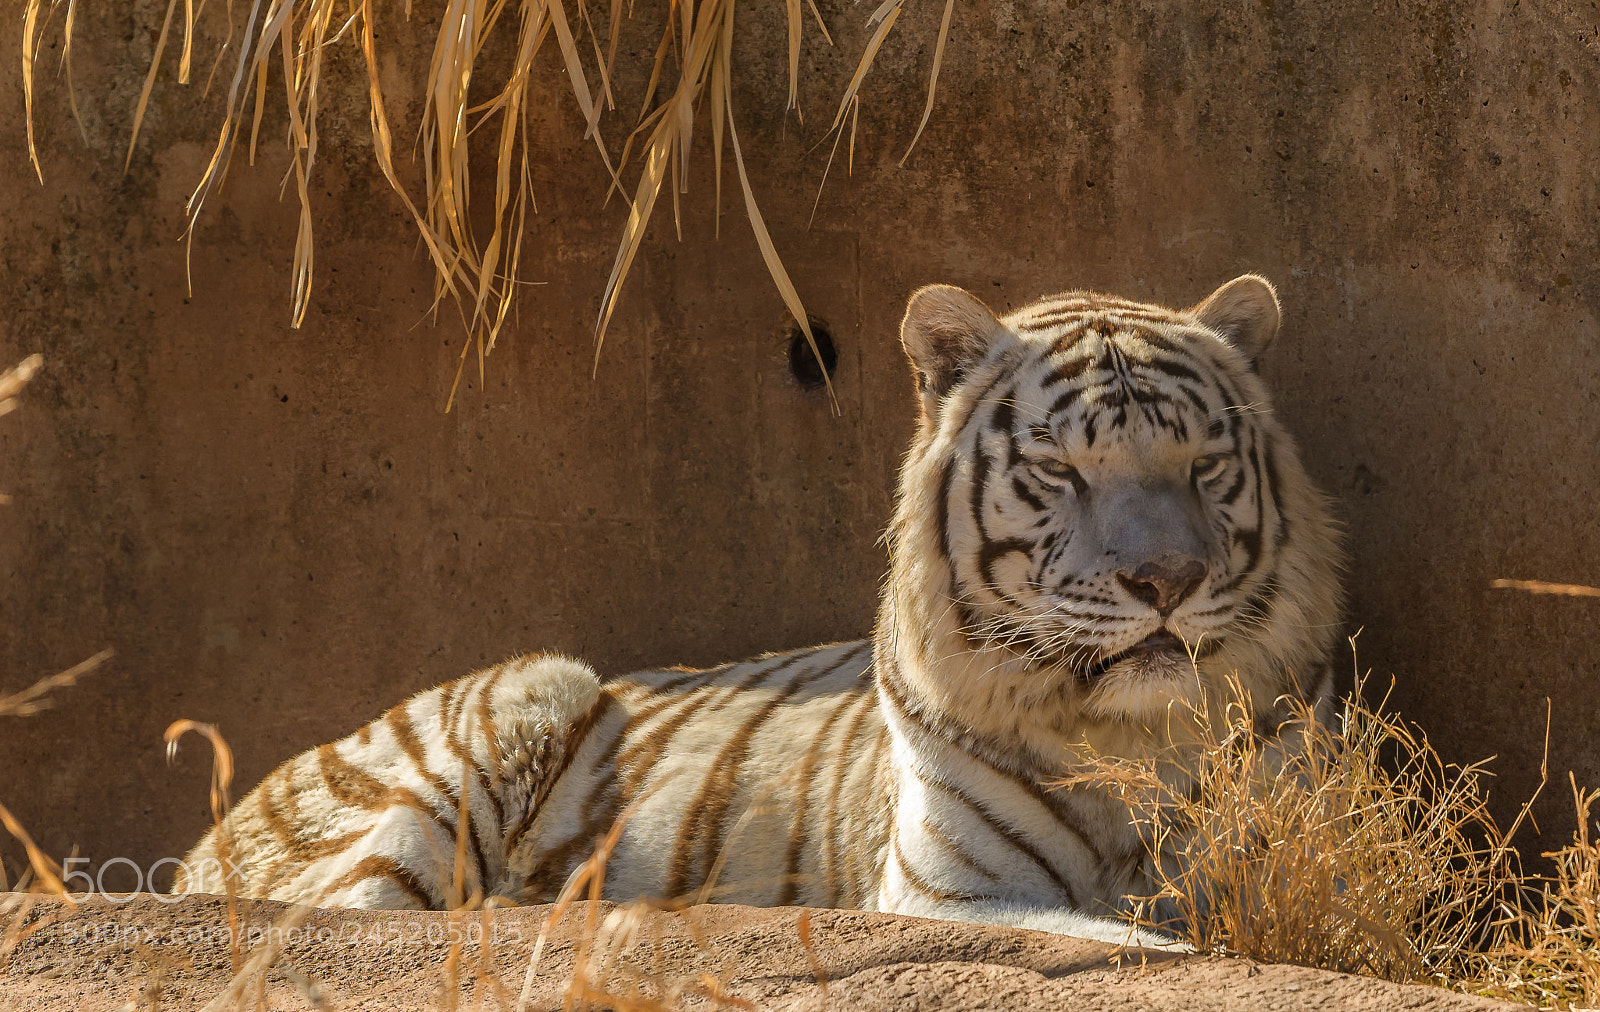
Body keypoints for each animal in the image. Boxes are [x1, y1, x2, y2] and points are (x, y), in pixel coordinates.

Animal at [172, 275, 1343, 945]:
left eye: (1202, 464)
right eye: (1062, 470)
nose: (1166, 582)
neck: (1126, 732)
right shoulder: (956, 898)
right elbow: (1152, 947)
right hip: (507, 706)